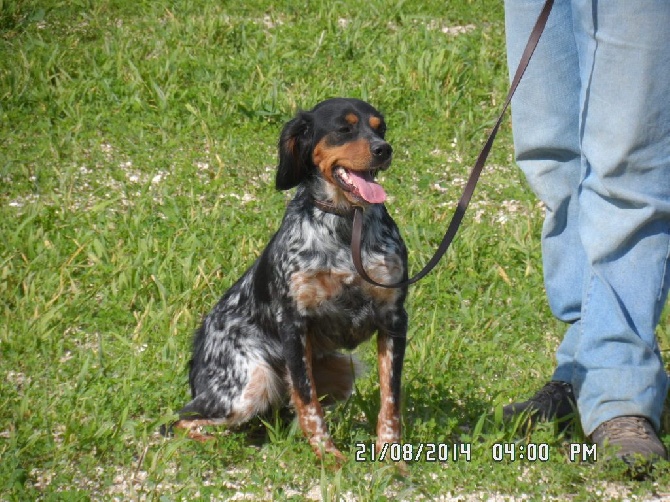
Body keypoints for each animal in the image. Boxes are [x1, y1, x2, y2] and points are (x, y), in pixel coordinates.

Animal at [171, 96, 410, 460]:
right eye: (344, 128)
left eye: (380, 127)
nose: (384, 149)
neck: (345, 227)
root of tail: (200, 343)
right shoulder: (293, 324)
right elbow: (308, 402)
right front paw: (329, 457)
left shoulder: (394, 318)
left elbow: (390, 401)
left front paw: (390, 458)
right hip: (249, 383)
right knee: (179, 422)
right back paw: (222, 446)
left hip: (342, 370)